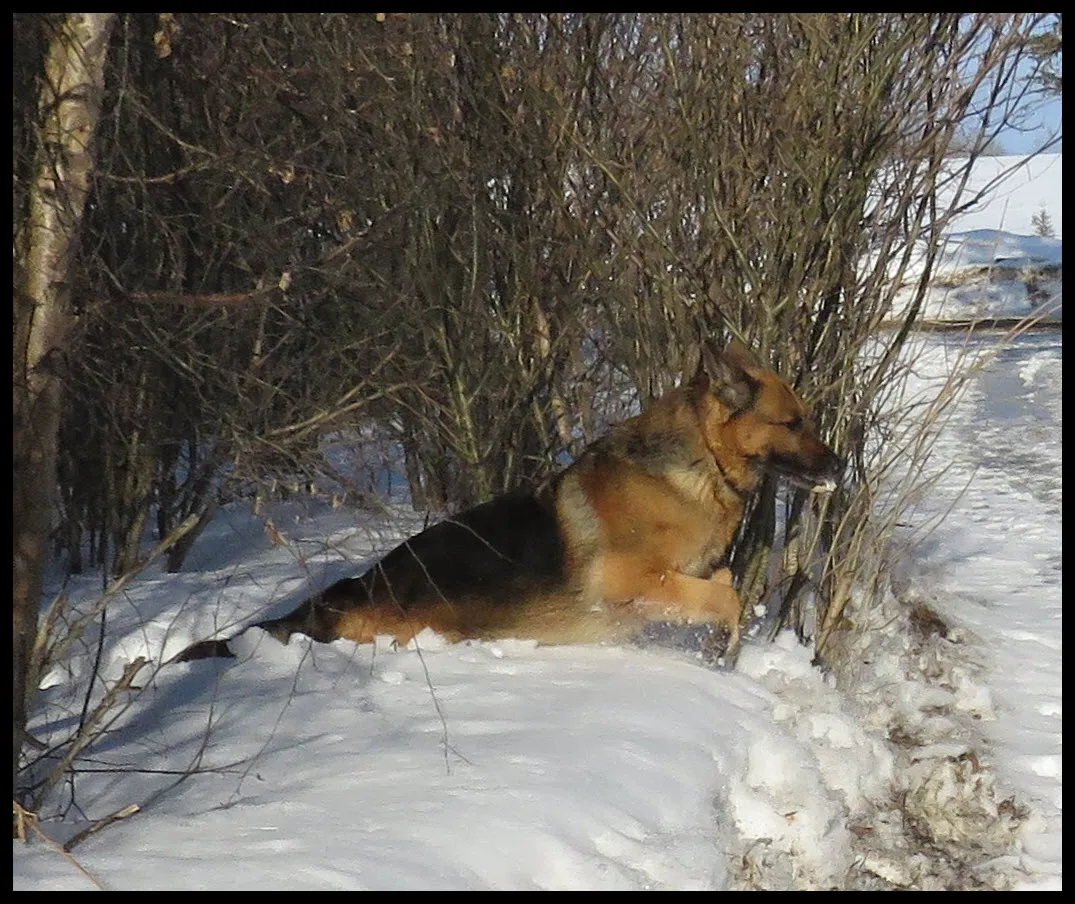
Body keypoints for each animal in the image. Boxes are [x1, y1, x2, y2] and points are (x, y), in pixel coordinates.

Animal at [176, 339, 838, 662]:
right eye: (793, 423)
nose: (838, 467)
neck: (701, 462)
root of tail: (342, 597)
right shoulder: (630, 582)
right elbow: (727, 595)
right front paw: (726, 644)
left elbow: (721, 580)